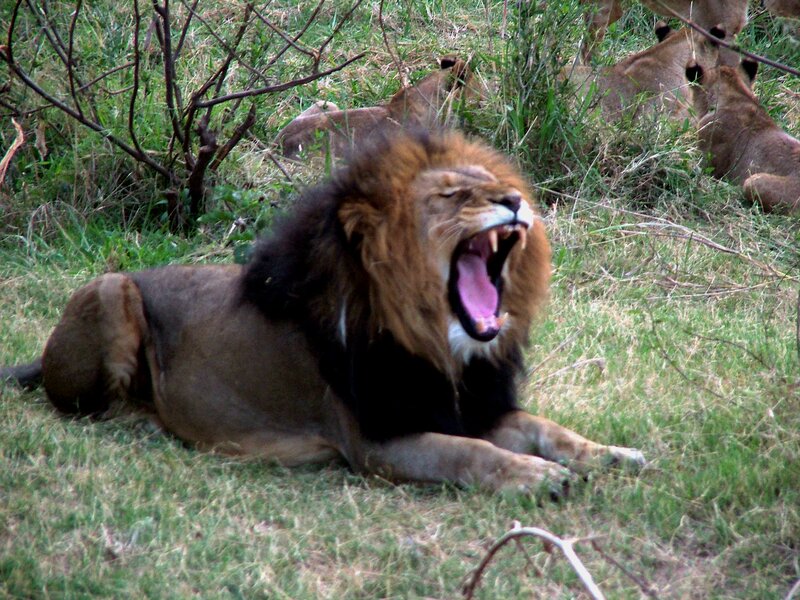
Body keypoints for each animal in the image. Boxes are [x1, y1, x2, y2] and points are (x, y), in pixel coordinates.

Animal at [0, 129, 645, 495]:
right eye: (453, 195)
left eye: (494, 184)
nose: (514, 200)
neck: (441, 345)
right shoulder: (377, 441)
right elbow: (470, 453)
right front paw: (537, 478)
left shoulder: (465, 406)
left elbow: (544, 428)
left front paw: (610, 455)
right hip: (111, 288)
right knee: (94, 406)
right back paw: (146, 418)